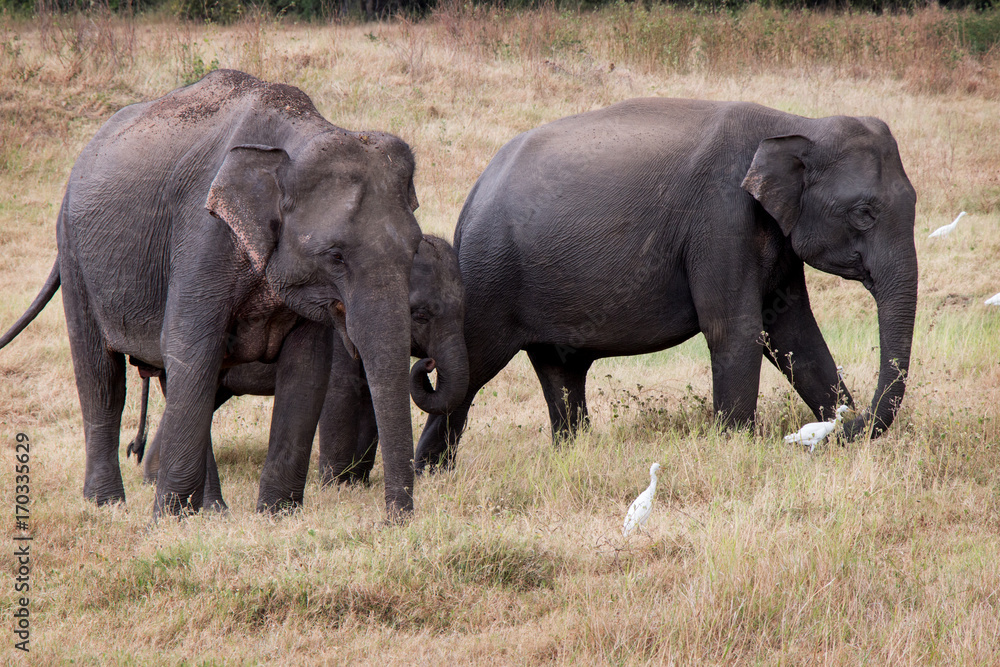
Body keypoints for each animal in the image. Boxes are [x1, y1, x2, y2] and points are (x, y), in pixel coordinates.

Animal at [0, 70, 424, 519]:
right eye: (336, 256)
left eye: (415, 250)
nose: (394, 521)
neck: (300, 132)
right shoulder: (202, 236)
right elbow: (191, 347)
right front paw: (166, 523)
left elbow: (307, 368)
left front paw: (276, 515)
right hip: (75, 254)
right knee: (103, 378)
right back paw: (109, 505)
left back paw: (212, 511)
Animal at [129, 234, 467, 506]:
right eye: (421, 315)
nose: (429, 363)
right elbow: (340, 393)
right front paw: (337, 486)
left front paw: (356, 482)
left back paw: (153, 476)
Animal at [415, 98, 918, 471]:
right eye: (864, 213)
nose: (841, 425)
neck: (795, 123)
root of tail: (474, 194)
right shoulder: (720, 216)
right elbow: (734, 330)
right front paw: (734, 452)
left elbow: (795, 334)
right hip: (490, 275)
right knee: (470, 371)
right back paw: (432, 474)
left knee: (560, 373)